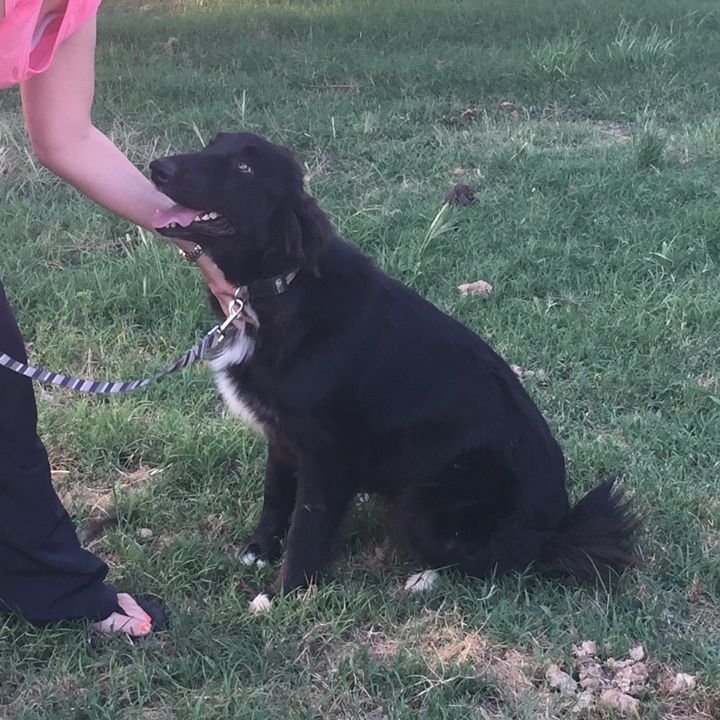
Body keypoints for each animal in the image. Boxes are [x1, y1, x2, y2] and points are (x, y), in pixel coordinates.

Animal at [150, 132, 636, 612]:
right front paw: (260, 550)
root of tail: (556, 526)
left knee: (504, 559)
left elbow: (308, 525)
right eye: (211, 145)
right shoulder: (282, 435)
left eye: (245, 168)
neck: (278, 288)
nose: (157, 168)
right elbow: (275, 496)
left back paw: (425, 578)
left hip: (425, 502)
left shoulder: (327, 453)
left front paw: (285, 591)